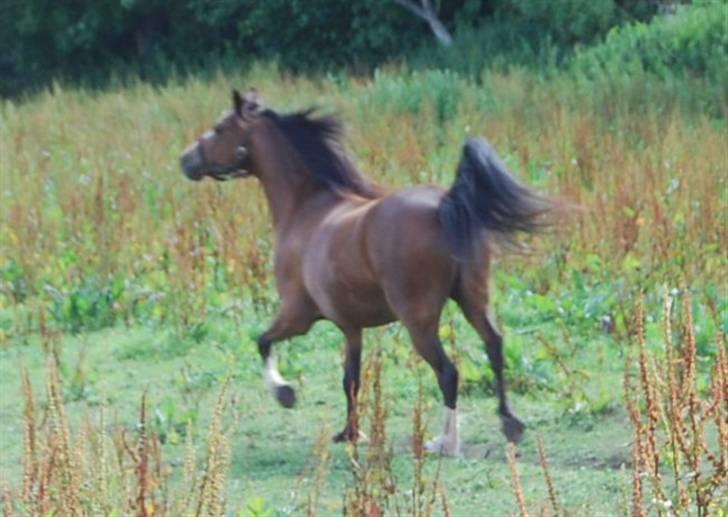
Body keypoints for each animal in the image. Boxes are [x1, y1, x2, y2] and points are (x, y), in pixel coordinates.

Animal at [179, 90, 548, 454]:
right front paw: (350, 432)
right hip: (473, 300)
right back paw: (509, 423)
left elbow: (263, 341)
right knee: (494, 347)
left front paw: (285, 392)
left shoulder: (297, 315)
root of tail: (447, 204)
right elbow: (351, 380)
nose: (185, 160)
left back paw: (445, 442)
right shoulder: (351, 327)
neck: (307, 208)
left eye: (220, 128)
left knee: (448, 372)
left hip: (419, 322)